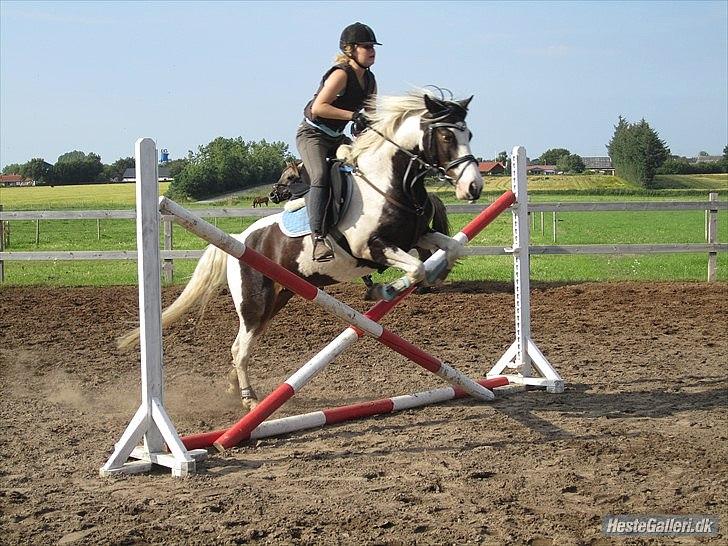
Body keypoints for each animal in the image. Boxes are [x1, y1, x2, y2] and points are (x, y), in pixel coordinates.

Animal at [118, 91, 483, 410]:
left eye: (469, 133)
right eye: (446, 136)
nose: (474, 187)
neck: (391, 185)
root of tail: (241, 238)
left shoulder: (418, 236)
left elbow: (450, 249)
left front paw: (426, 277)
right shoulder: (373, 246)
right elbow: (416, 267)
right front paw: (387, 289)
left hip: (278, 299)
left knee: (242, 346)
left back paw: (235, 388)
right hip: (254, 303)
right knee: (240, 347)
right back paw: (249, 399)